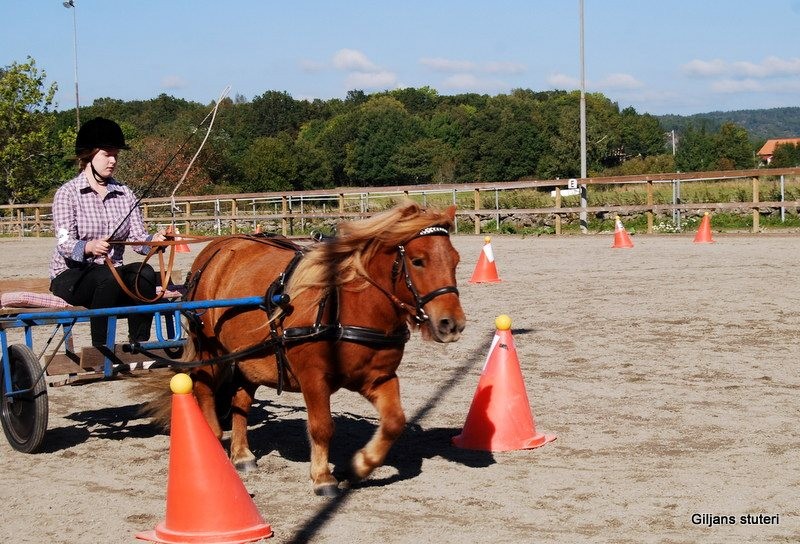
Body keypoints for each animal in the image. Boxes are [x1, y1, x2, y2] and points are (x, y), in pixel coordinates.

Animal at [174, 201, 462, 498]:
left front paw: (360, 465)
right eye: (418, 261)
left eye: (455, 260)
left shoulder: (379, 378)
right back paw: (213, 436)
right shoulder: (313, 378)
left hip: (248, 357)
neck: (347, 309)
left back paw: (242, 454)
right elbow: (322, 426)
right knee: (203, 386)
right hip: (211, 349)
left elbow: (395, 422)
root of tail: (216, 248)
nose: (451, 323)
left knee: (240, 402)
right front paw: (323, 477)